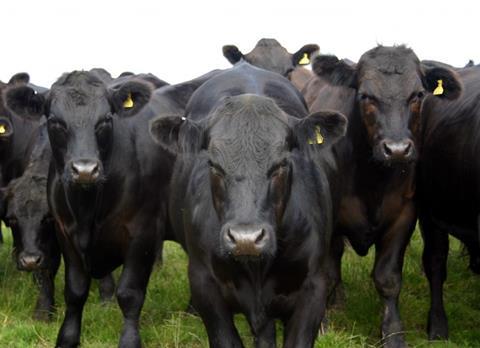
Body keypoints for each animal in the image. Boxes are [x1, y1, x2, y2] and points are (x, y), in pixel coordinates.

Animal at [3, 69, 218, 346]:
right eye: (55, 120)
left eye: (105, 119)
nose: (85, 169)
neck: (88, 209)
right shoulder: (65, 234)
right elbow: (74, 290)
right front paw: (66, 336)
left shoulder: (143, 233)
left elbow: (129, 293)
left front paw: (129, 339)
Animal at [308, 44, 462, 346]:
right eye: (365, 95)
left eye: (418, 95)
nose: (397, 149)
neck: (372, 181)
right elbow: (327, 274)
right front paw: (320, 325)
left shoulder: (403, 216)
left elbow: (388, 279)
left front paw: (393, 333)